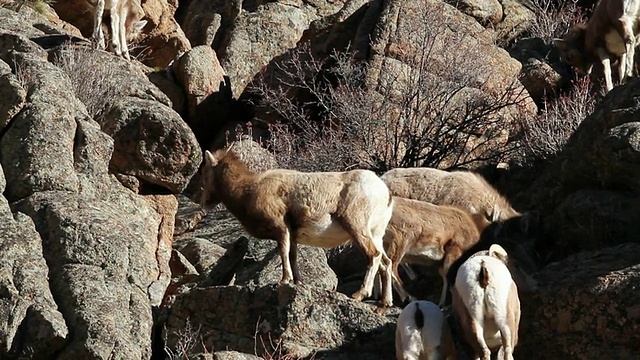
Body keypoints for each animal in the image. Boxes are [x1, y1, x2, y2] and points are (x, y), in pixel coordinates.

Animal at [200, 148, 398, 306]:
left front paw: (284, 280)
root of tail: (385, 193)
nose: (202, 200)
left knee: (373, 255)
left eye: (204, 172)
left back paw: (359, 294)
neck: (248, 191)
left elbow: (283, 253)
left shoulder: (281, 229)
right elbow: (292, 256)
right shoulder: (292, 236)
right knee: (386, 263)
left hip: (357, 228)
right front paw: (297, 282)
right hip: (375, 234)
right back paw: (386, 302)